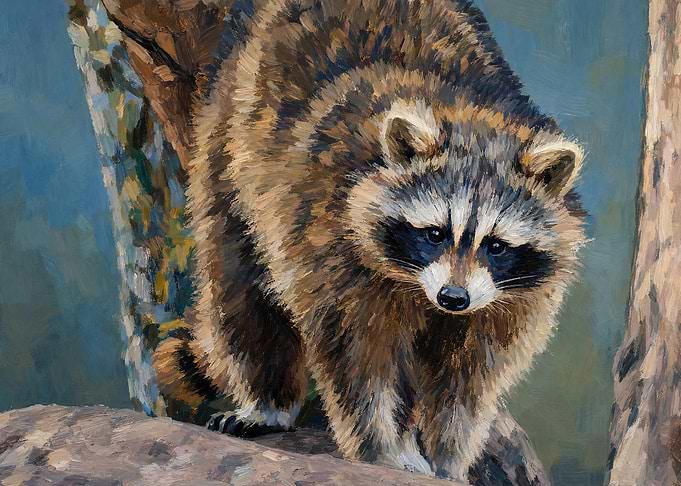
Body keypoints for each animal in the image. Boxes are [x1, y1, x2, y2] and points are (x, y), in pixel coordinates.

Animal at [154, 0, 587, 479]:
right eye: (434, 234)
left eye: (496, 245)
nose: (453, 297)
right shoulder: (330, 244)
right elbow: (358, 361)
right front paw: (385, 452)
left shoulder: (507, 303)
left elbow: (466, 382)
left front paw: (448, 459)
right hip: (227, 141)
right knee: (239, 288)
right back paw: (269, 402)